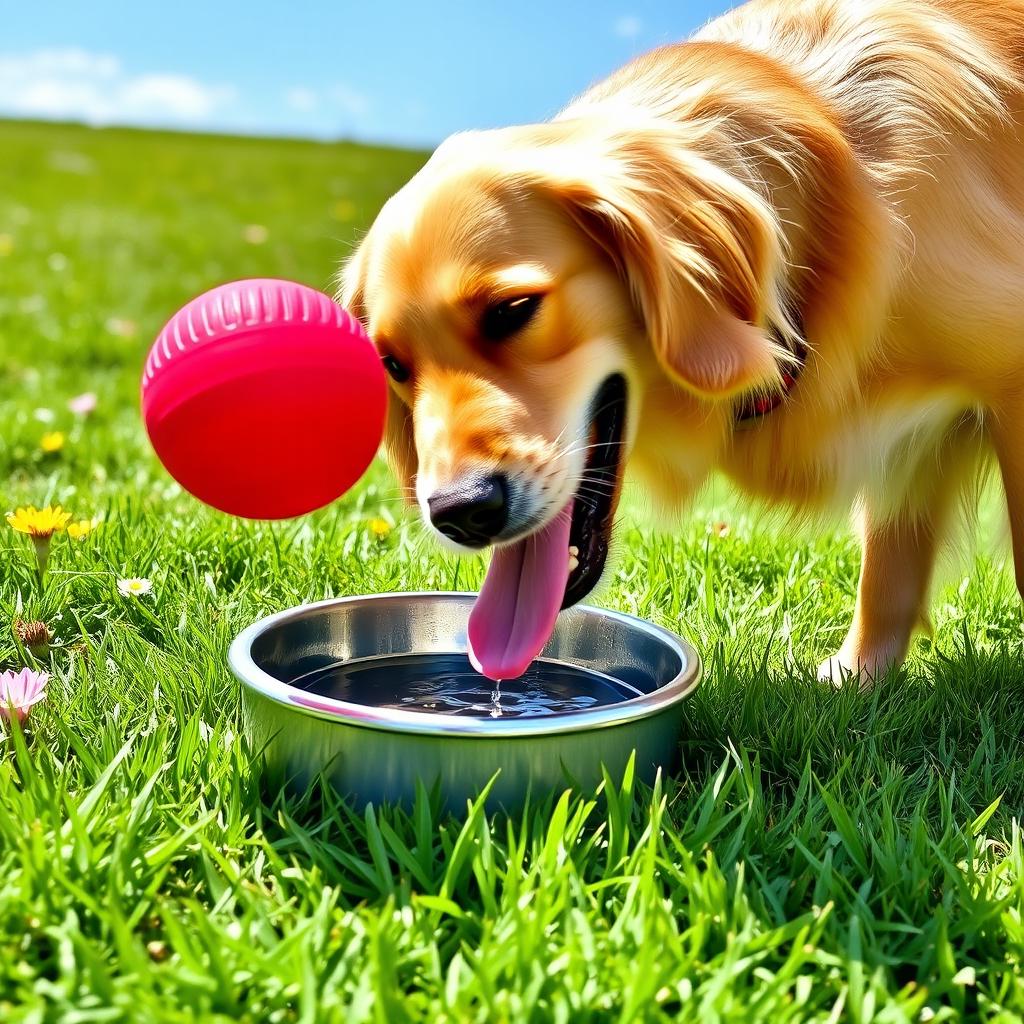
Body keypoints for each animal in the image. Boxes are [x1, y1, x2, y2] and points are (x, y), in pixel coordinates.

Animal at [342, 2, 1024, 688]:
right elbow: (889, 564)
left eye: (512, 311)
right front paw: (858, 679)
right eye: (393, 364)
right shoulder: (911, 448)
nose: (459, 512)